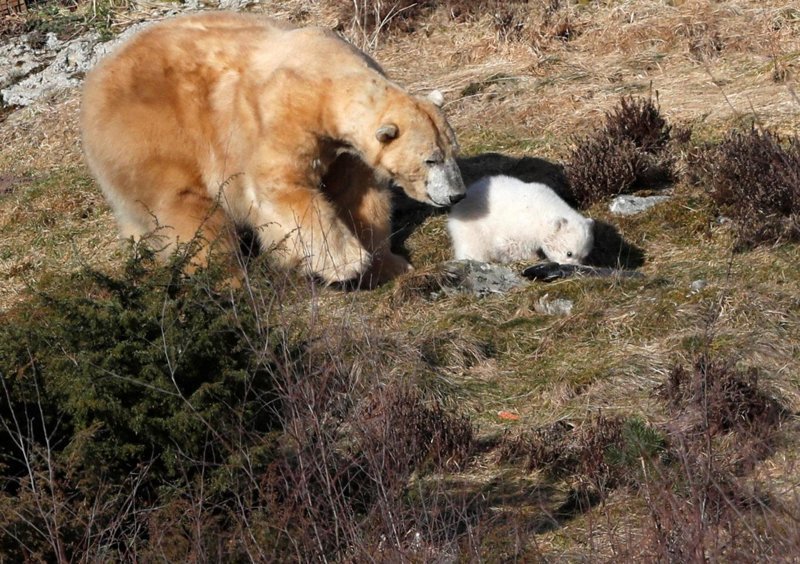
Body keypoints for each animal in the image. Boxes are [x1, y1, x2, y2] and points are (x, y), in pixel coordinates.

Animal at [80, 12, 462, 286]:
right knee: (186, 210)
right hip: (157, 131)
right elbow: (282, 191)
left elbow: (359, 194)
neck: (325, 74)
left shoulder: (345, 151)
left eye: (452, 152)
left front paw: (390, 263)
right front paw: (348, 263)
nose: (456, 194)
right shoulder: (279, 117)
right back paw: (225, 280)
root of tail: (98, 78)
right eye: (430, 159)